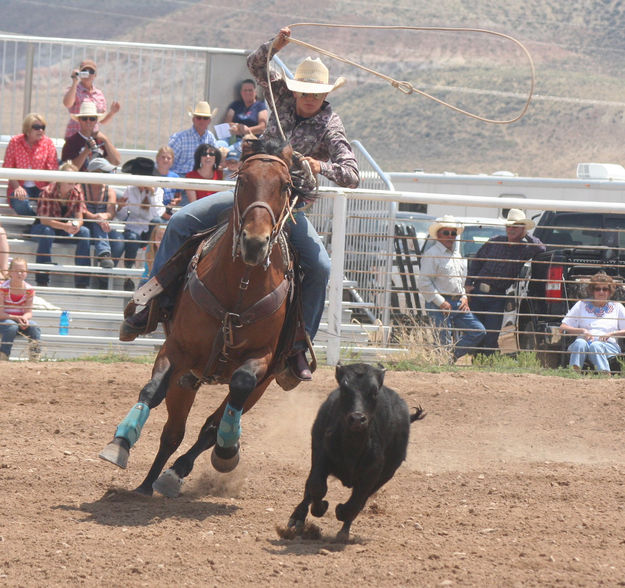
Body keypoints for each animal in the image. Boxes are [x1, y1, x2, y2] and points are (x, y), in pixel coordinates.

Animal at [99, 138, 298, 496]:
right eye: (241, 180)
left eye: (286, 185)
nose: (254, 244)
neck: (240, 289)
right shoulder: (177, 349)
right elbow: (152, 390)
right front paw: (119, 443)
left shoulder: (261, 359)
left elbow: (239, 385)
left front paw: (227, 450)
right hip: (186, 378)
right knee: (173, 430)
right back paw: (148, 483)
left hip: (262, 384)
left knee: (211, 425)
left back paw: (189, 466)